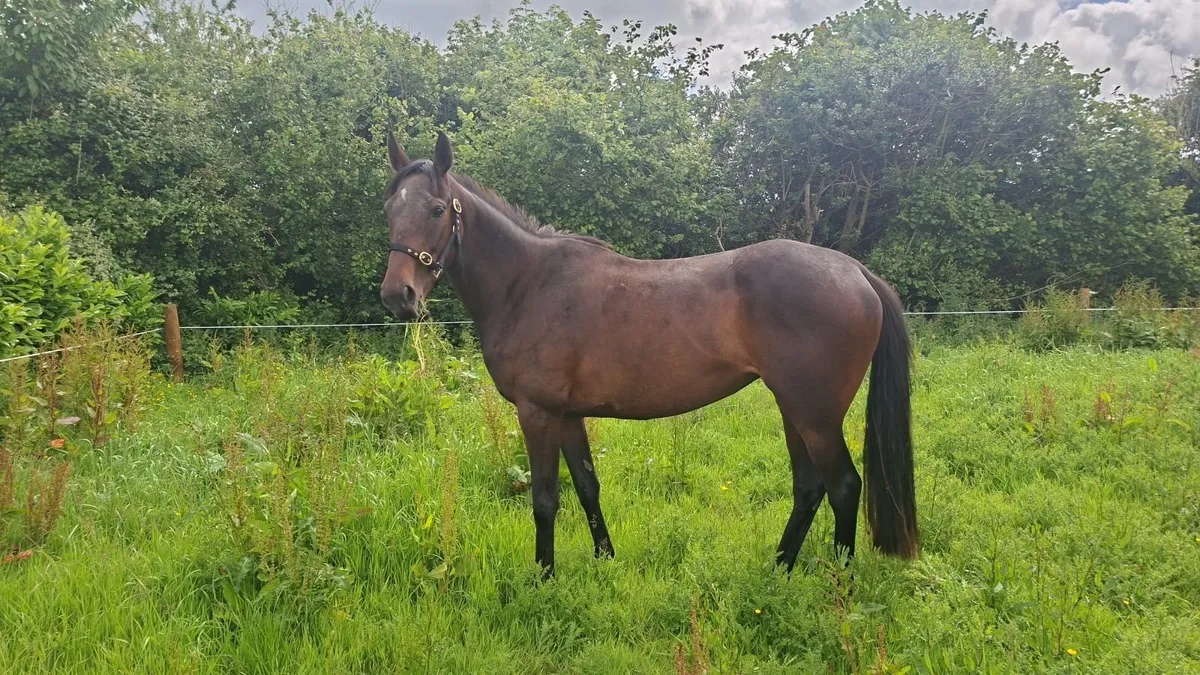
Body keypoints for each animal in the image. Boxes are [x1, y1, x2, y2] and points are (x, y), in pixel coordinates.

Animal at [379, 131, 918, 577]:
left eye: (436, 209)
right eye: (390, 209)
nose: (397, 296)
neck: (528, 285)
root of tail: (854, 271)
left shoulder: (539, 413)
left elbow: (545, 499)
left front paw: (544, 577)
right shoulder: (568, 415)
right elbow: (587, 487)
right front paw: (605, 560)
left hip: (815, 415)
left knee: (843, 487)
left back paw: (838, 582)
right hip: (794, 408)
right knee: (810, 487)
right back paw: (779, 569)